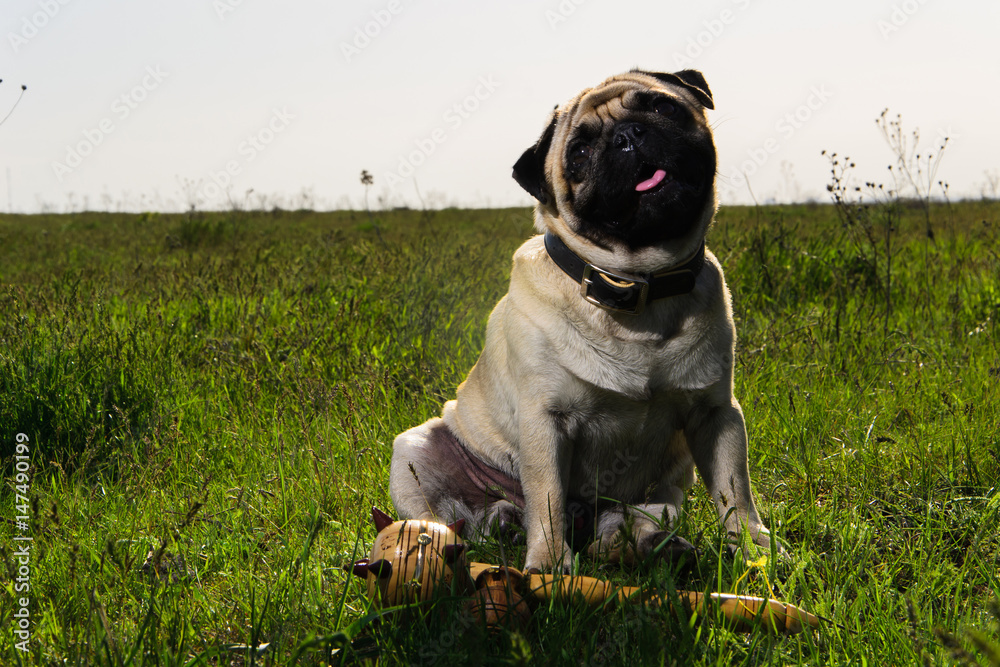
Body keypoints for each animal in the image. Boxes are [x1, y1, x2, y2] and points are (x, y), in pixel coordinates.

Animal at [388, 68, 772, 572]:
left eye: (662, 106)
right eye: (580, 153)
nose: (628, 136)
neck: (635, 288)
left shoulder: (716, 414)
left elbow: (735, 492)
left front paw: (756, 551)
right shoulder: (546, 423)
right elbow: (547, 498)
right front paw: (549, 567)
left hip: (666, 488)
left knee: (623, 523)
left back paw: (647, 546)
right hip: (414, 451)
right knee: (461, 518)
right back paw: (491, 530)